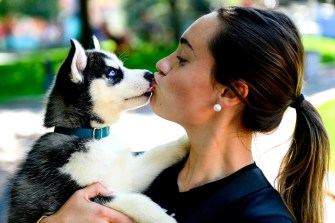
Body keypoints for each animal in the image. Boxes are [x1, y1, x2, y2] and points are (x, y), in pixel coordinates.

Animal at [7, 37, 189, 223]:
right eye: (112, 73)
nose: (150, 75)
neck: (94, 137)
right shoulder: (83, 193)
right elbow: (138, 201)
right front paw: (165, 219)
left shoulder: (129, 177)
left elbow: (157, 153)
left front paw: (185, 141)